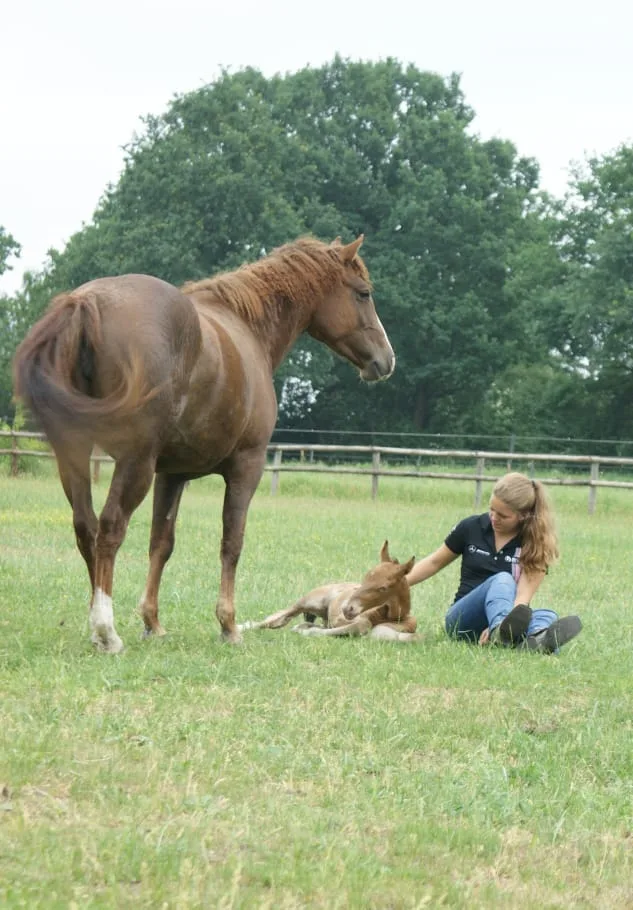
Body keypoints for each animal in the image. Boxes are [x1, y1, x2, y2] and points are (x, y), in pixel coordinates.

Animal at [13, 235, 395, 653]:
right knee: (110, 528)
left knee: (86, 528)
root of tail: (87, 303)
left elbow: (161, 543)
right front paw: (228, 625)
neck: (248, 328)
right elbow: (231, 542)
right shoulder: (247, 467)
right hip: (134, 463)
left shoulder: (172, 474)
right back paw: (106, 630)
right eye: (363, 293)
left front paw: (152, 622)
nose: (386, 359)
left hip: (76, 456)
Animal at [238, 541, 419, 642]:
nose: (347, 608)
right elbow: (361, 625)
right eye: (365, 577)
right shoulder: (348, 619)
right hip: (307, 602)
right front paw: (306, 631)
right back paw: (241, 627)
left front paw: (304, 629)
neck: (384, 616)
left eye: (383, 588)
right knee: (277, 619)